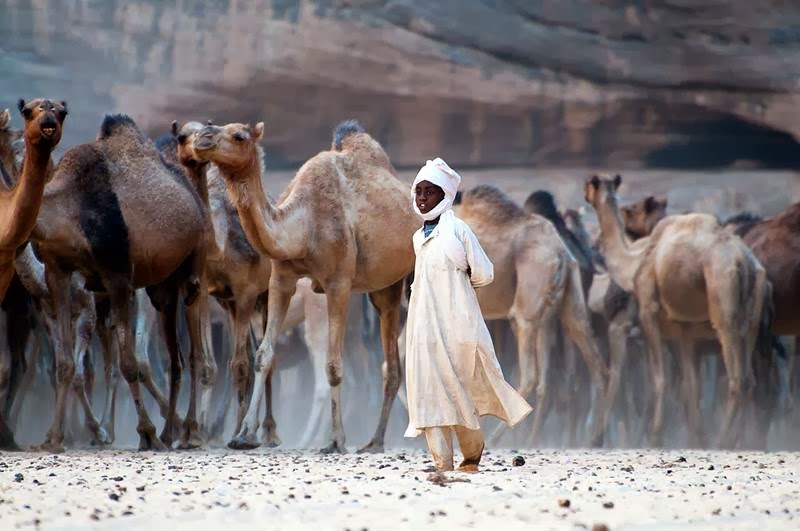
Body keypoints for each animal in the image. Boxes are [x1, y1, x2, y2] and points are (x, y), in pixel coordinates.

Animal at [29, 113, 212, 454]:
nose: (207, 138)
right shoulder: (57, 272)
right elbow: (64, 362)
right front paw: (53, 439)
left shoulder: (117, 276)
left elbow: (129, 363)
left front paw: (147, 433)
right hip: (162, 289)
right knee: (176, 359)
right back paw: (171, 432)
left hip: (194, 269)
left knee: (195, 354)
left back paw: (190, 433)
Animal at [191, 118, 418, 450]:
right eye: (215, 125)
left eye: (239, 135)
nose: (202, 137)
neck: (302, 227)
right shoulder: (281, 279)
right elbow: (263, 356)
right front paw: (244, 436)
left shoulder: (338, 283)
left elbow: (333, 367)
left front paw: (336, 440)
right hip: (384, 288)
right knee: (390, 366)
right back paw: (375, 441)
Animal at [454, 185, 608, 446]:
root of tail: (561, 253)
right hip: (568, 307)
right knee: (594, 364)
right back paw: (592, 437)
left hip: (525, 311)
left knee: (530, 376)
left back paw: (498, 437)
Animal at [584, 175, 772, 448]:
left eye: (629, 210)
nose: (593, 242)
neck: (634, 261)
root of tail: (744, 262)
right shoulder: (685, 328)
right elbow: (689, 385)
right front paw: (695, 439)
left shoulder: (647, 312)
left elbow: (658, 379)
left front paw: (655, 438)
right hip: (753, 318)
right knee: (751, 380)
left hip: (724, 304)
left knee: (738, 379)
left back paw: (722, 442)